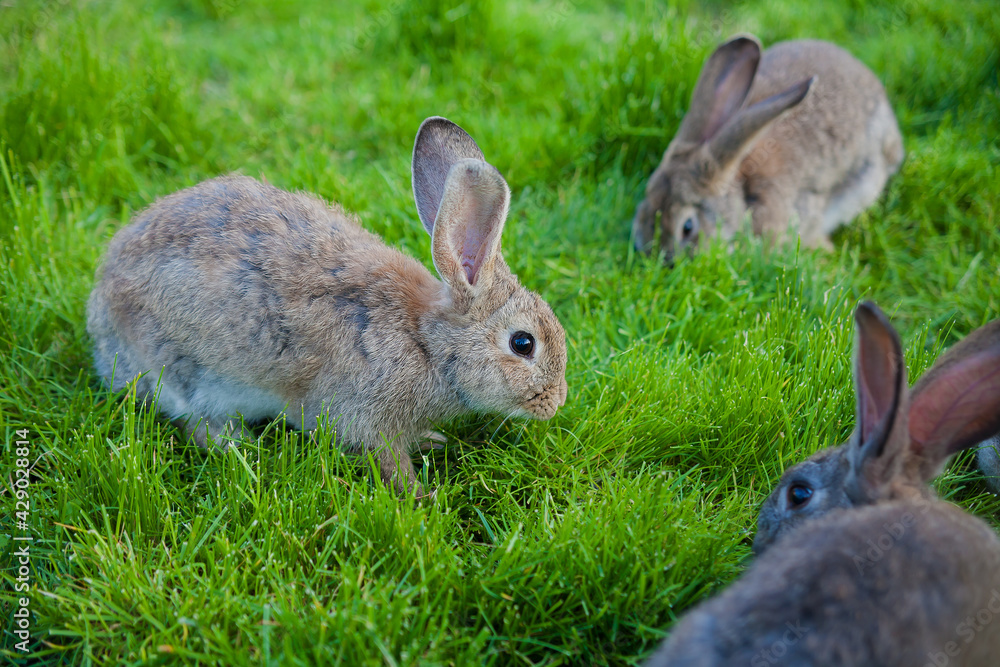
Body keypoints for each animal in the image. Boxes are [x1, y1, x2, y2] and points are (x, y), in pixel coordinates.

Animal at [86, 116, 568, 494]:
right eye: (523, 344)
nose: (556, 402)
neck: (427, 343)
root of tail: (100, 316)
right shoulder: (367, 416)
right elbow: (388, 461)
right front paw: (422, 498)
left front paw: (431, 440)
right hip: (185, 370)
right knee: (196, 423)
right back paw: (243, 449)